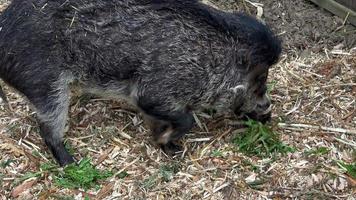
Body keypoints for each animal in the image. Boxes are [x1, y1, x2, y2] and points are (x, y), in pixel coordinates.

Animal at [0, 0, 280, 166]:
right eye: (259, 79)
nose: (268, 113)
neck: (207, 61)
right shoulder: (152, 92)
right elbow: (186, 119)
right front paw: (170, 143)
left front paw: (170, 147)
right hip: (46, 84)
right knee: (47, 128)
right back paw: (72, 162)